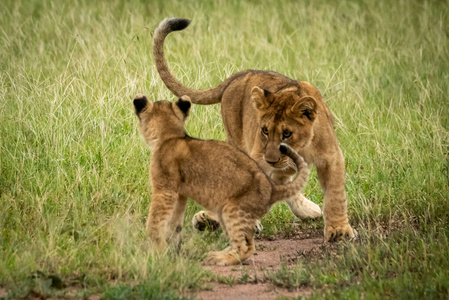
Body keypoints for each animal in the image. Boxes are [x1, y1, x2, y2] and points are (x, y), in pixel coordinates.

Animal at [152, 17, 356, 241]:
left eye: (287, 133)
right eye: (265, 130)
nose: (271, 160)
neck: (301, 148)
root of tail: (239, 75)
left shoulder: (331, 156)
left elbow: (335, 195)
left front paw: (339, 230)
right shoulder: (259, 157)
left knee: (282, 179)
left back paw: (307, 210)